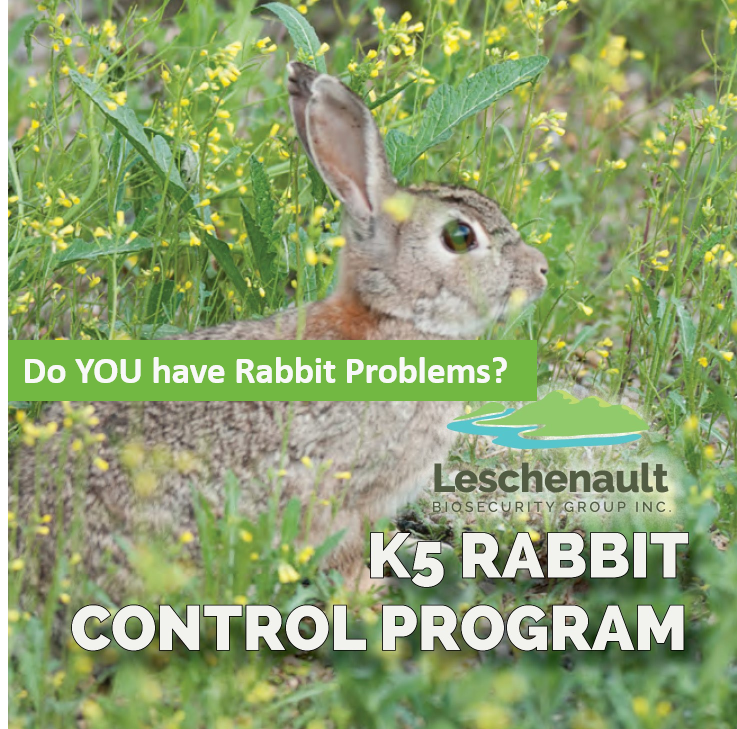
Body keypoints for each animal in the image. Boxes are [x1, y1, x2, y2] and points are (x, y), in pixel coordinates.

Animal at [8, 62, 548, 604]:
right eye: (460, 237)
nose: (541, 271)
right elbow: (347, 553)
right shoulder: (349, 492)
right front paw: (369, 596)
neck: (393, 314)